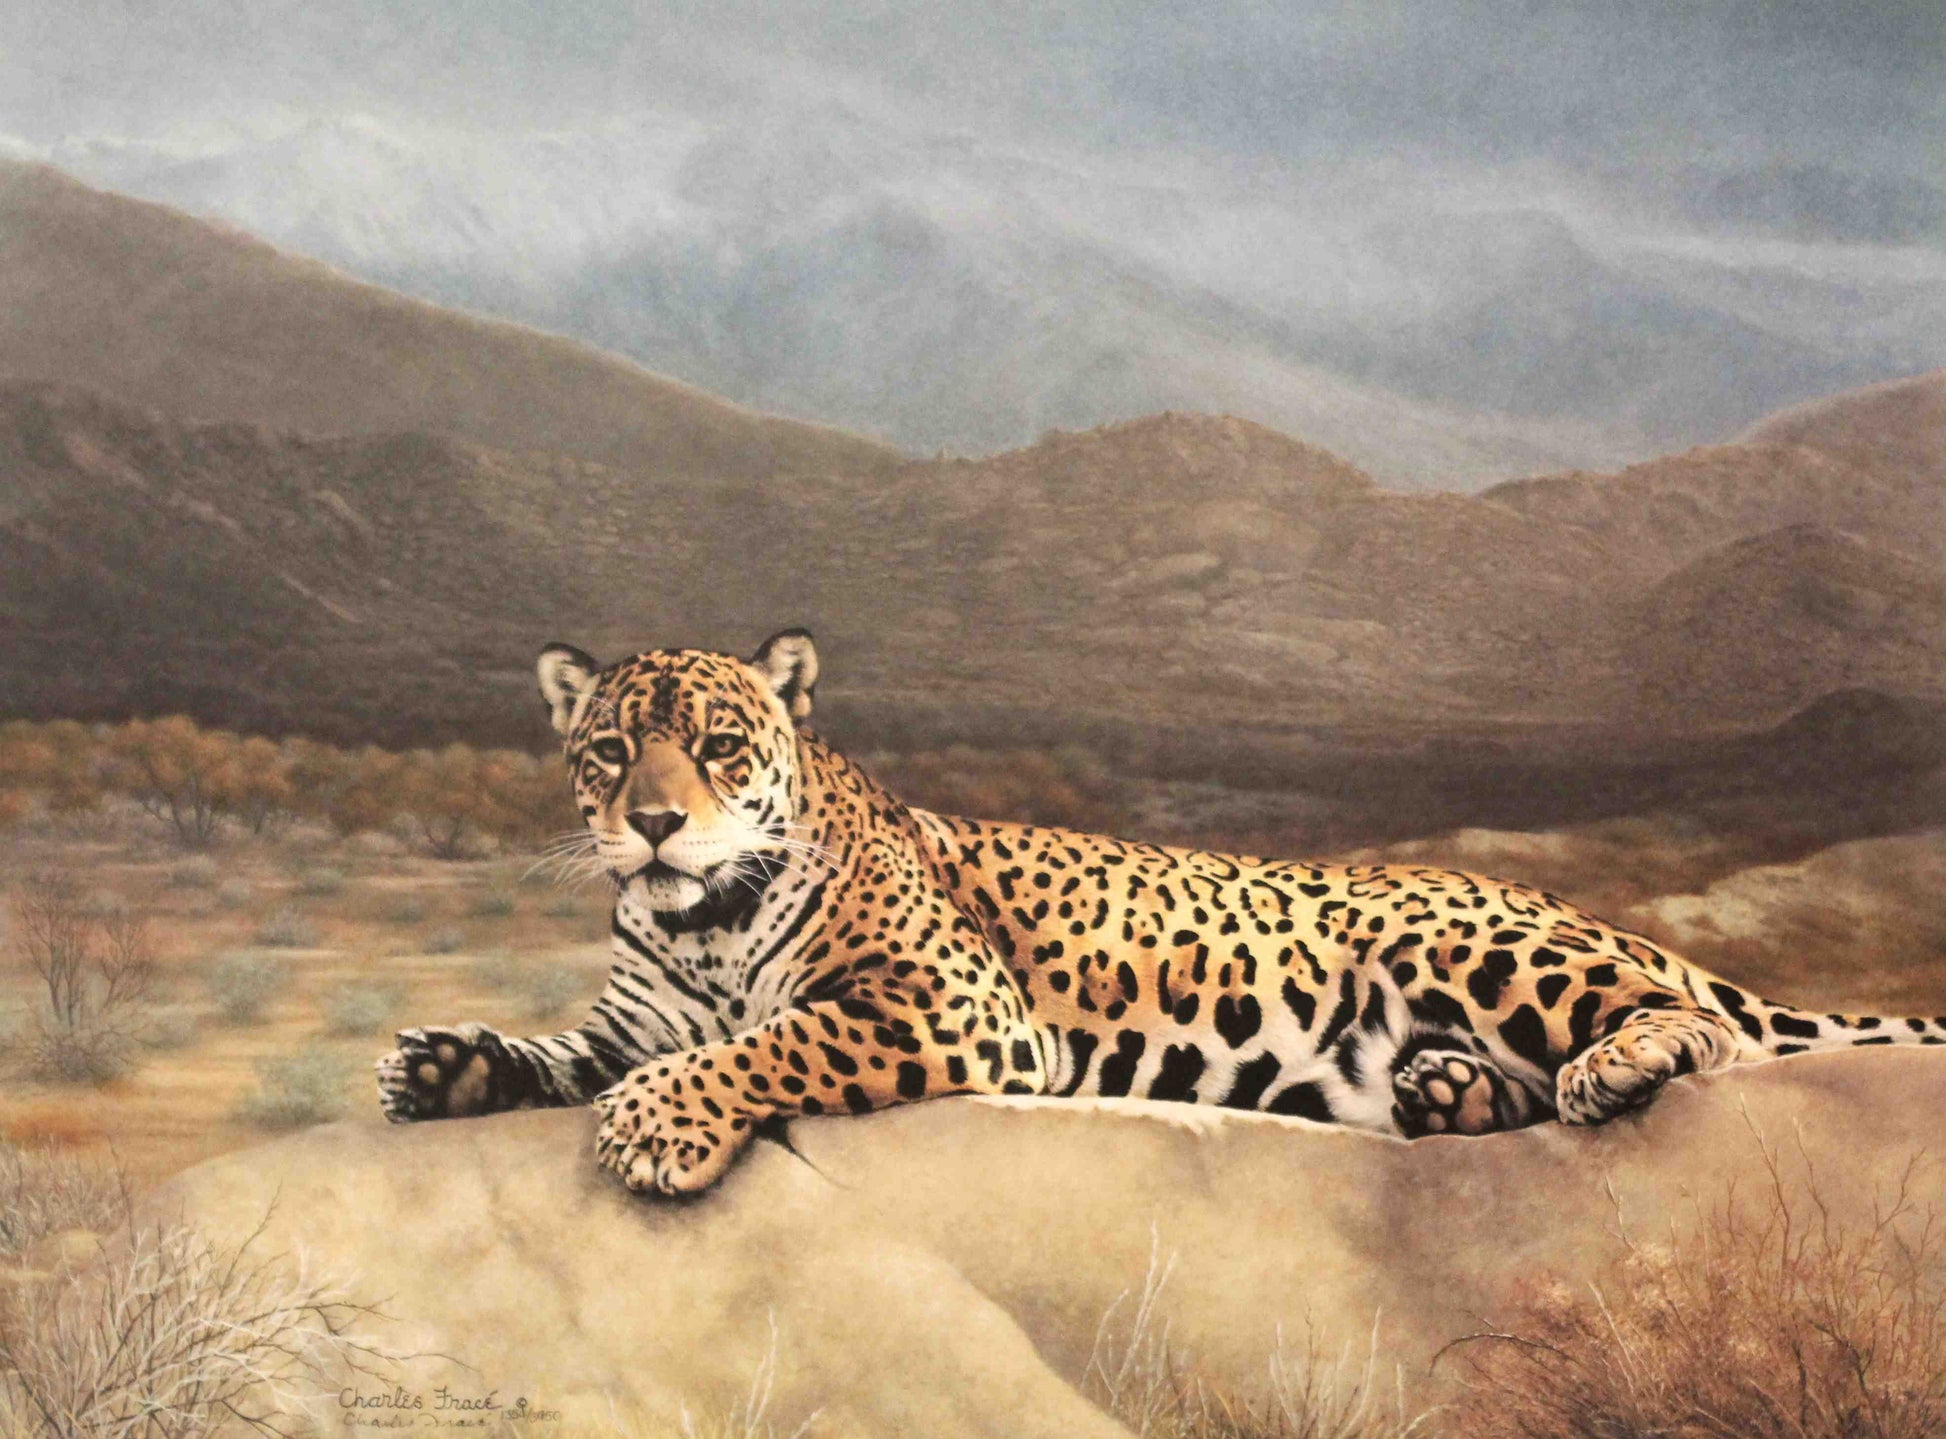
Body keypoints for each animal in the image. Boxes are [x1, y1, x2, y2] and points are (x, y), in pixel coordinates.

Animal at [375, 630, 1946, 1195]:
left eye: (715, 747)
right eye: (605, 752)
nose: (651, 822)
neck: (697, 921)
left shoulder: (948, 1002)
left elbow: (767, 1042)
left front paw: (659, 1126)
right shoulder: (627, 1015)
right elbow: (557, 1050)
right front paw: (440, 1063)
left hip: (1473, 939)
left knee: (1699, 1031)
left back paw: (1614, 1060)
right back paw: (1446, 1093)